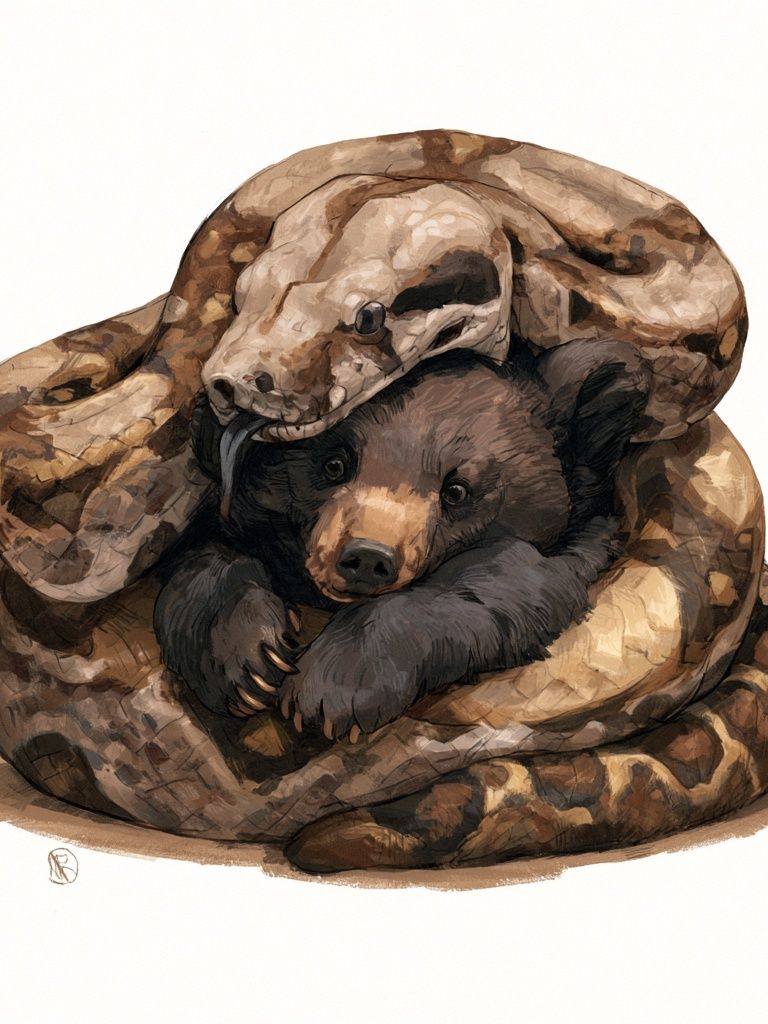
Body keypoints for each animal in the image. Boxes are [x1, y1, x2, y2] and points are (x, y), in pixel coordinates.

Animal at [154, 343, 649, 741]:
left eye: (457, 490)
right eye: (334, 462)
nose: (366, 557)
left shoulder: (569, 551)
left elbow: (502, 583)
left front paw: (335, 688)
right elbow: (210, 560)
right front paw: (248, 661)